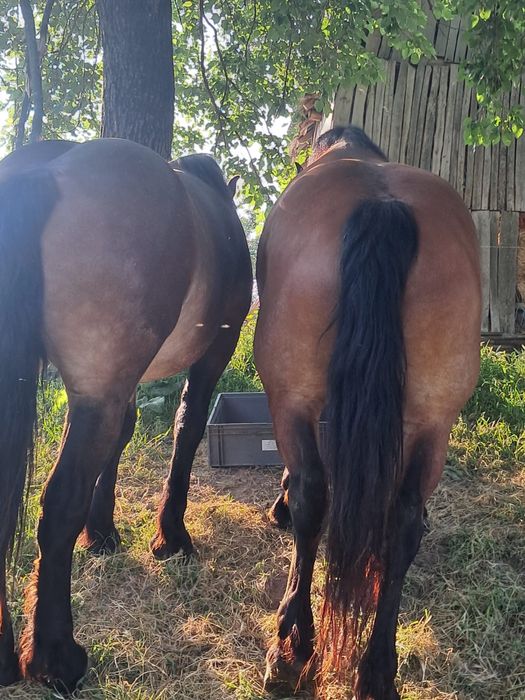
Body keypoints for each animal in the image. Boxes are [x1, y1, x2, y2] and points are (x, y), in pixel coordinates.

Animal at [0, 138, 252, 691]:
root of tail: (46, 171)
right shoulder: (213, 352)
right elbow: (187, 427)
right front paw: (172, 536)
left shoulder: (123, 383)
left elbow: (123, 437)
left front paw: (102, 532)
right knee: (59, 504)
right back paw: (57, 659)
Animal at [254, 125, 481, 699]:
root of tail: (382, 207)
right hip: (433, 419)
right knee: (402, 522)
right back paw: (376, 670)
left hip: (292, 395)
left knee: (313, 496)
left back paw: (291, 650)